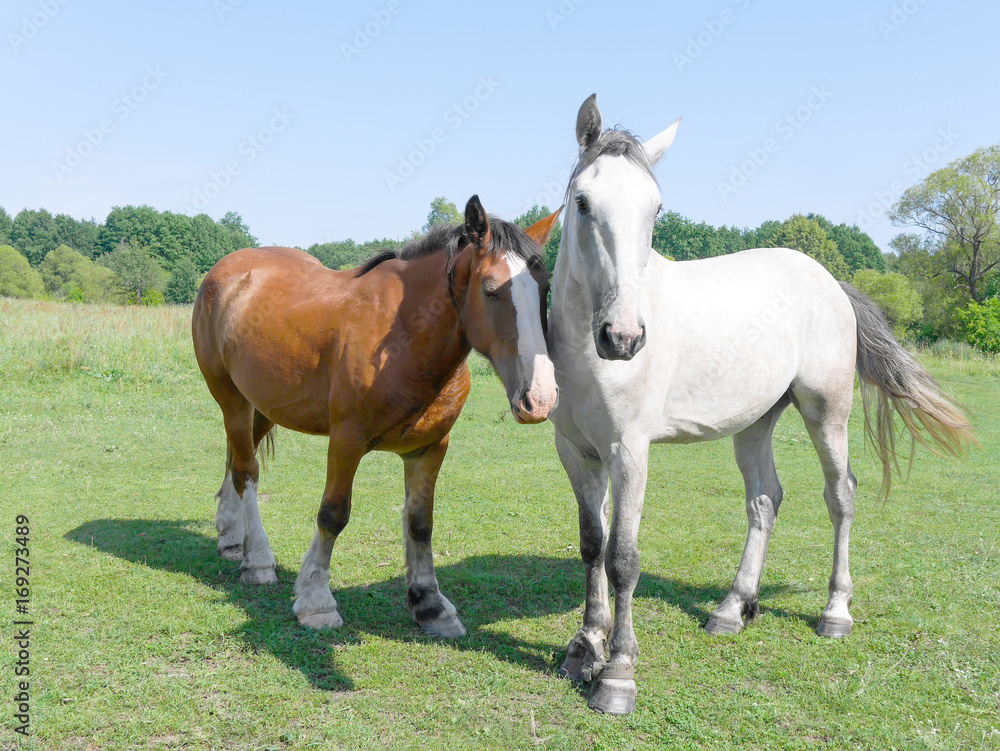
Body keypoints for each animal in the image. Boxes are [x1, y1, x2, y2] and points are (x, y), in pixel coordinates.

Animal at [191, 197, 560, 636]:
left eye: (545, 289)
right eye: (491, 291)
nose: (540, 399)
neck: (404, 339)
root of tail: (226, 269)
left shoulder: (429, 448)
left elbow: (420, 522)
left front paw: (431, 604)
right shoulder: (346, 441)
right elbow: (333, 514)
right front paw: (316, 601)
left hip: (263, 405)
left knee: (236, 461)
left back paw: (233, 538)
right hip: (231, 399)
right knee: (247, 471)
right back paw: (259, 560)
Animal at [548, 95, 976, 716]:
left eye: (655, 209)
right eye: (583, 202)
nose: (623, 338)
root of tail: (830, 281)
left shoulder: (630, 452)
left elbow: (622, 557)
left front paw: (618, 673)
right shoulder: (578, 452)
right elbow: (591, 546)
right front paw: (585, 648)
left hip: (827, 413)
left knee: (841, 496)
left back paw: (835, 612)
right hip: (755, 423)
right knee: (765, 500)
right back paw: (734, 607)